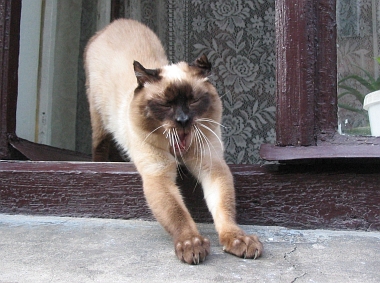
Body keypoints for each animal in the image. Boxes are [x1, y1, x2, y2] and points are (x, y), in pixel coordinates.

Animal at [84, 18, 262, 266]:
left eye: (193, 101)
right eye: (166, 104)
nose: (183, 120)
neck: (179, 151)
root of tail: (113, 24)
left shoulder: (212, 167)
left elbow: (223, 208)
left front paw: (238, 240)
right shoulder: (158, 174)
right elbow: (178, 214)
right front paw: (192, 246)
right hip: (98, 118)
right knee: (99, 146)